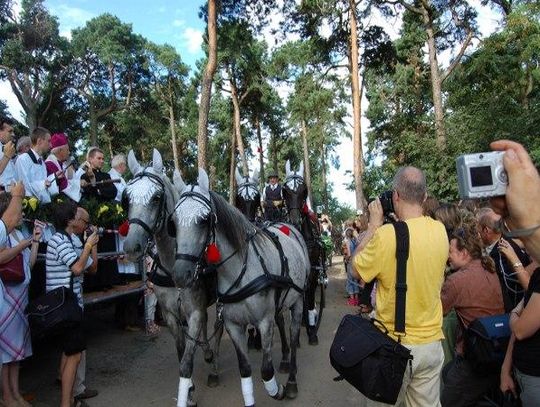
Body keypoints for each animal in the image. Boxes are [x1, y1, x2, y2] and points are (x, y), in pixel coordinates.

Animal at [122, 151, 224, 407]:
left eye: (156, 197)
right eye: (127, 197)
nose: (131, 246)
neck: (171, 265)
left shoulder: (194, 311)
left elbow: (187, 361)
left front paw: (188, 392)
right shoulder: (170, 315)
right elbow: (181, 353)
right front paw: (189, 391)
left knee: (218, 329)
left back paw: (214, 366)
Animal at [171, 167, 310, 406]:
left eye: (204, 219)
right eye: (174, 221)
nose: (180, 274)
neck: (240, 270)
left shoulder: (264, 322)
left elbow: (266, 370)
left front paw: (279, 390)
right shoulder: (233, 325)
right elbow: (244, 369)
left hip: (298, 300)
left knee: (293, 337)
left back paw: (291, 380)